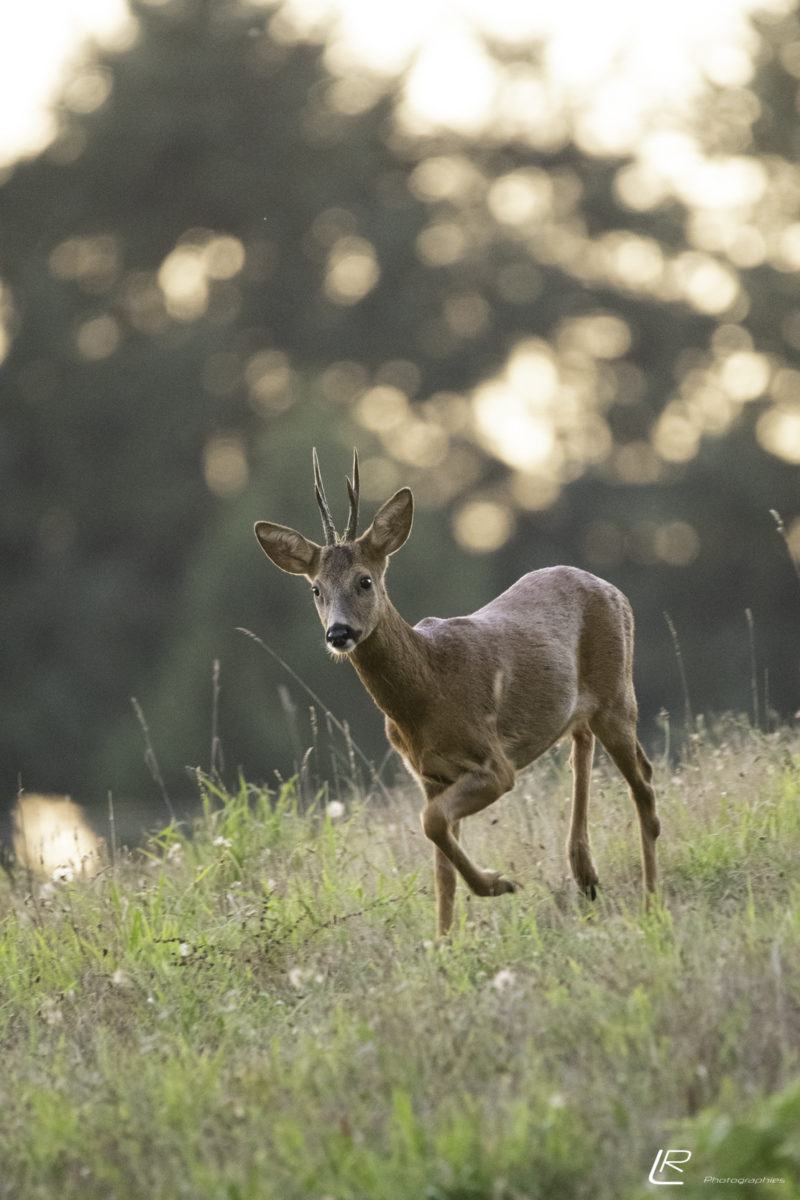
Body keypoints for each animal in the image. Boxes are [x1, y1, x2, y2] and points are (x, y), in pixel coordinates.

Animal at [253, 451, 662, 936]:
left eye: (365, 580)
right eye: (316, 589)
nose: (339, 633)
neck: (428, 692)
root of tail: (613, 589)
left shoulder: (495, 765)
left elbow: (432, 825)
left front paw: (497, 884)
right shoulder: (429, 776)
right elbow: (440, 868)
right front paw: (445, 943)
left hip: (618, 693)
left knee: (643, 782)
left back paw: (651, 899)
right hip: (581, 708)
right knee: (584, 750)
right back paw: (586, 875)